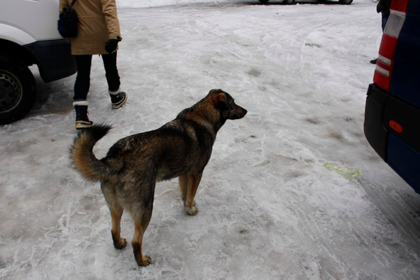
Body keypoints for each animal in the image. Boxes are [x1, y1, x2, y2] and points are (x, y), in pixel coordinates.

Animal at [69, 88, 246, 266]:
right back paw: (142, 261)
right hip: (145, 206)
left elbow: (186, 194)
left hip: (115, 206)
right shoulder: (196, 172)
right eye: (233, 103)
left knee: (114, 229)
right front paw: (190, 210)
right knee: (136, 240)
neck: (201, 117)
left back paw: (119, 244)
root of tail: (116, 157)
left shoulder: (184, 173)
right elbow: (191, 194)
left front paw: (186, 206)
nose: (246, 111)